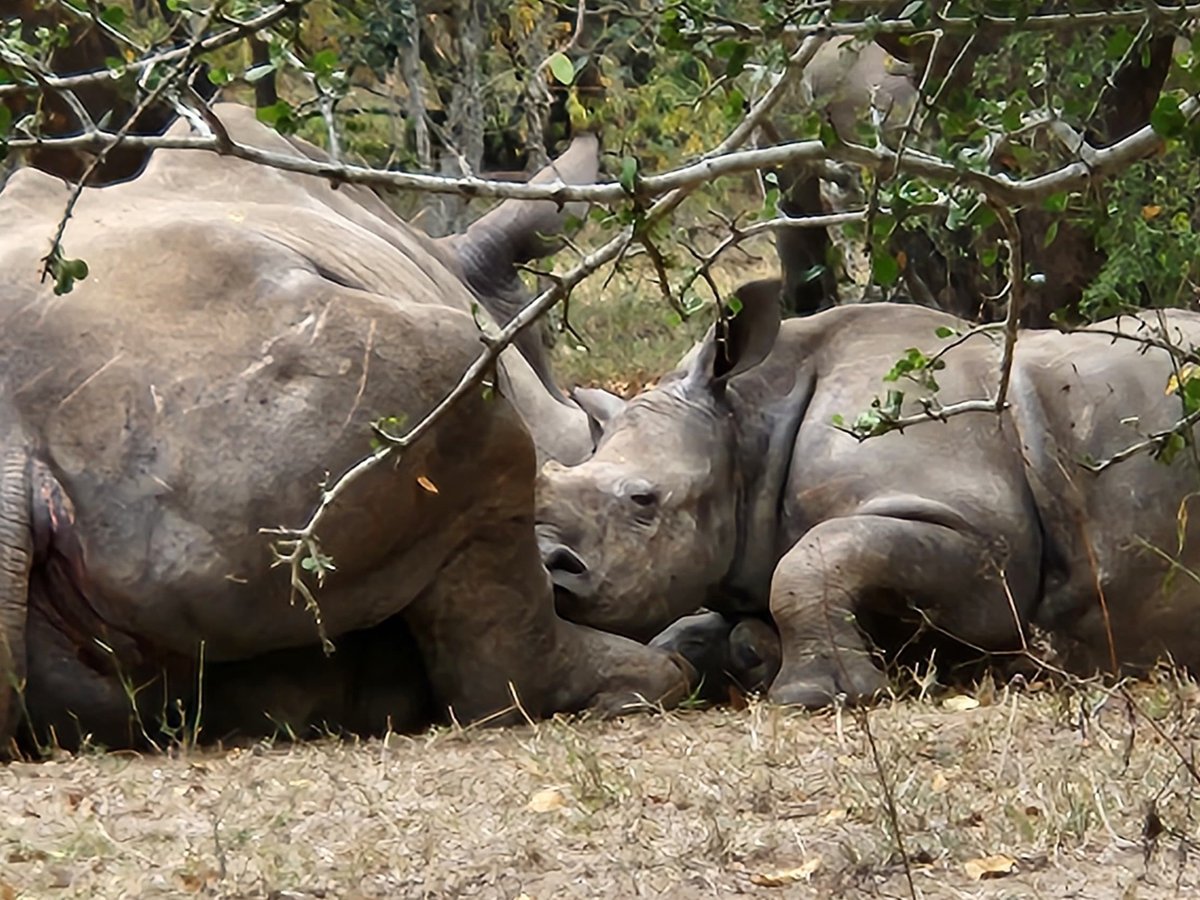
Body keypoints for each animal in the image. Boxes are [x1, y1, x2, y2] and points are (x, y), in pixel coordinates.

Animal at [540, 285, 1200, 710]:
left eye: (643, 501)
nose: (549, 565)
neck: (747, 426)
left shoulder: (989, 539)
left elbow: (819, 555)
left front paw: (820, 696)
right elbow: (692, 624)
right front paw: (744, 655)